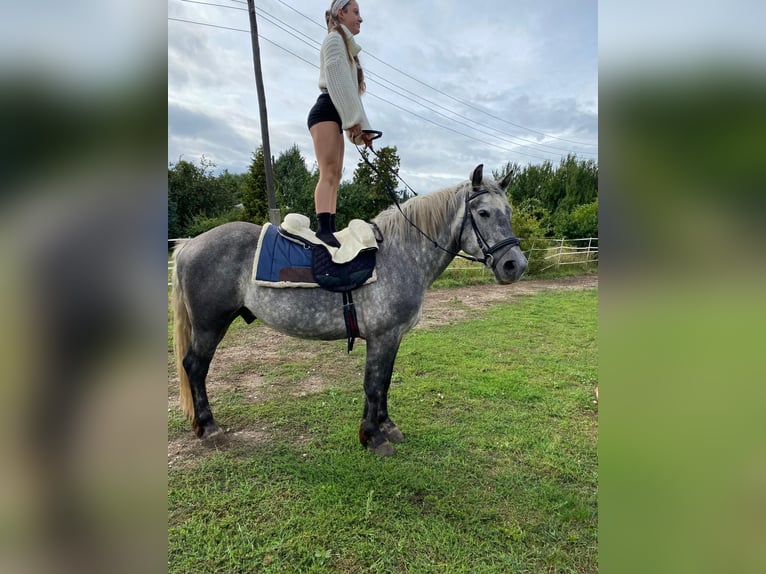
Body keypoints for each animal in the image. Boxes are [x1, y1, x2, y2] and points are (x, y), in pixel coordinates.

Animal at [172, 164, 528, 456]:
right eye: (483, 213)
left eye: (508, 211)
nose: (515, 265)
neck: (399, 254)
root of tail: (190, 244)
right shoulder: (382, 336)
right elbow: (373, 383)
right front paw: (373, 437)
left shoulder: (393, 337)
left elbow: (384, 382)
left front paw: (386, 427)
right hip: (209, 325)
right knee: (195, 367)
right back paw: (209, 427)